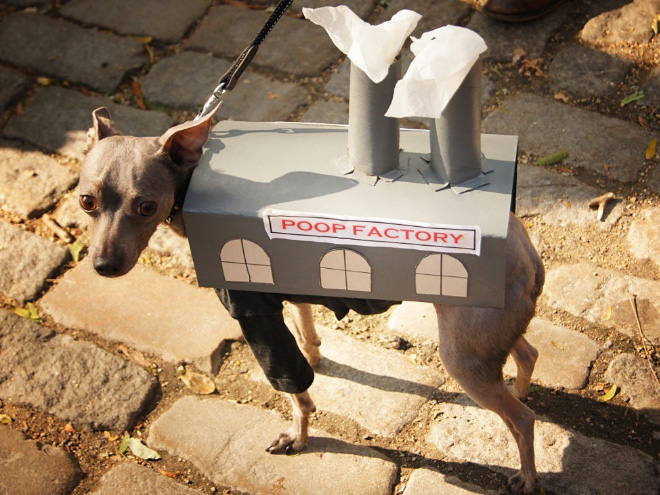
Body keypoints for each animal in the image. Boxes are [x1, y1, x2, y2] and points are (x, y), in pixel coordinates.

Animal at [80, 106, 548, 494]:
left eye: (146, 206)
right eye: (86, 201)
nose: (102, 265)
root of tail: (528, 252)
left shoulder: (256, 319)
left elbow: (295, 391)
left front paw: (299, 436)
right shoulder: (286, 294)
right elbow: (306, 331)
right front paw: (317, 356)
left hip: (463, 357)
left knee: (522, 420)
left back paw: (527, 476)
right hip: (486, 339)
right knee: (527, 354)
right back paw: (523, 390)